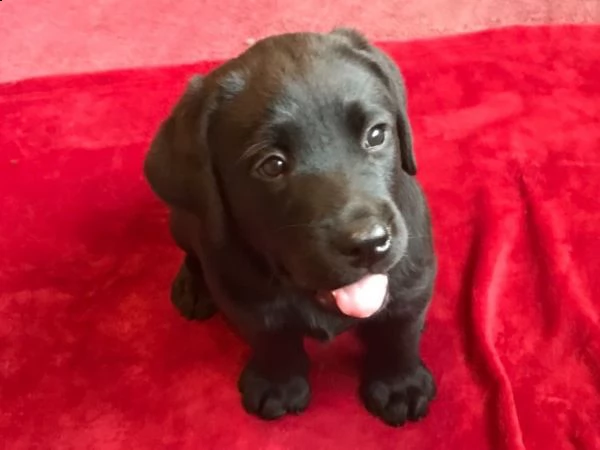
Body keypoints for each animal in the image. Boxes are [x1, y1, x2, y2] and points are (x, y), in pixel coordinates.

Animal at [144, 28, 436, 426]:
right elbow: (272, 335)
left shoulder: (414, 278)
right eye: (272, 165)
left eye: (377, 135)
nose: (368, 243)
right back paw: (193, 286)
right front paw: (278, 384)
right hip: (184, 220)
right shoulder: (244, 296)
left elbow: (399, 330)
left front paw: (399, 384)